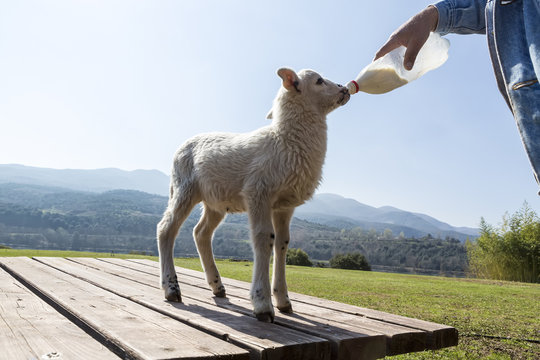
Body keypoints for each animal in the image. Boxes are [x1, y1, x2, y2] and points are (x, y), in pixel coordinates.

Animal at [156, 68, 350, 324]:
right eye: (318, 81)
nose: (345, 89)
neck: (285, 141)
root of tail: (181, 147)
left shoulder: (284, 205)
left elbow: (282, 243)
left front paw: (284, 301)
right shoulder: (258, 192)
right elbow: (263, 239)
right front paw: (262, 304)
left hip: (215, 200)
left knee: (201, 233)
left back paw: (217, 286)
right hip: (184, 187)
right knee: (166, 229)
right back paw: (171, 288)